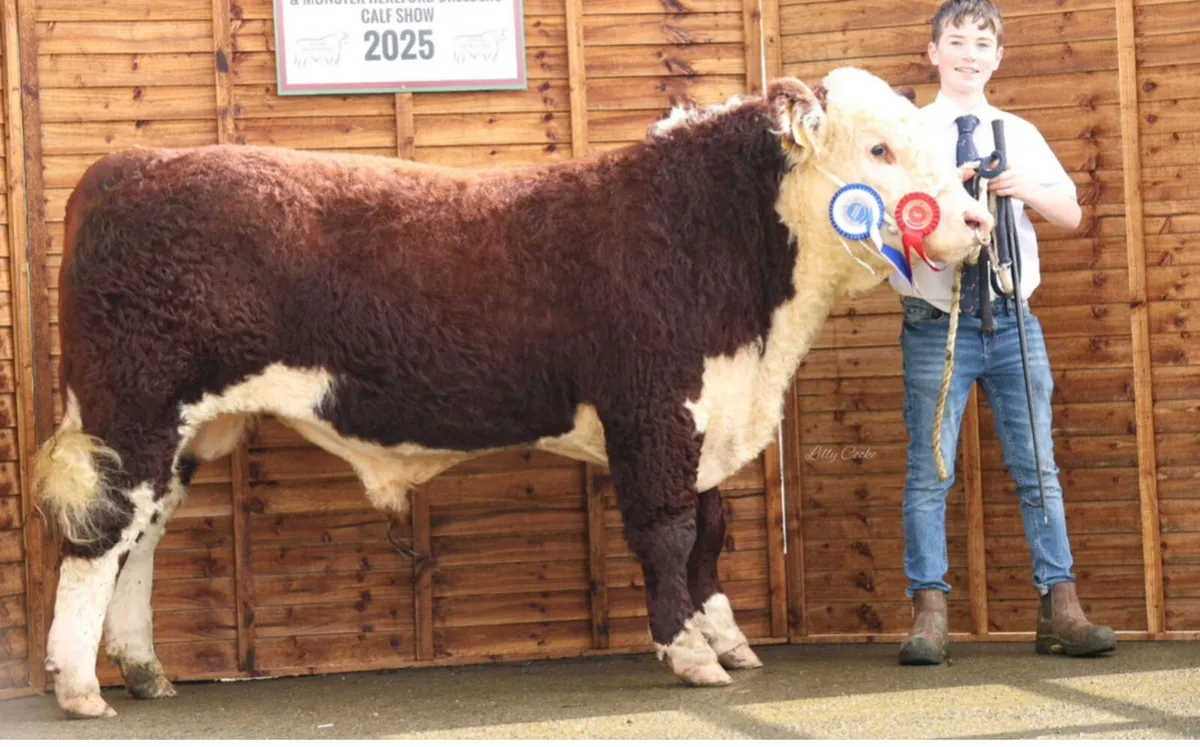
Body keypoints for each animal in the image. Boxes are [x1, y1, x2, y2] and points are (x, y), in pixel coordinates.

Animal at [33, 67, 992, 719]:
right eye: (879, 149)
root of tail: (126, 167)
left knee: (142, 539)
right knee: (101, 537)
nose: (977, 219)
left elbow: (712, 533)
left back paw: (147, 670)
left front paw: (729, 638)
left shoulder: (709, 412)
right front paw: (689, 653)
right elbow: (670, 531)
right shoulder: (653, 411)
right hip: (132, 413)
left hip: (183, 431)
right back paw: (80, 684)